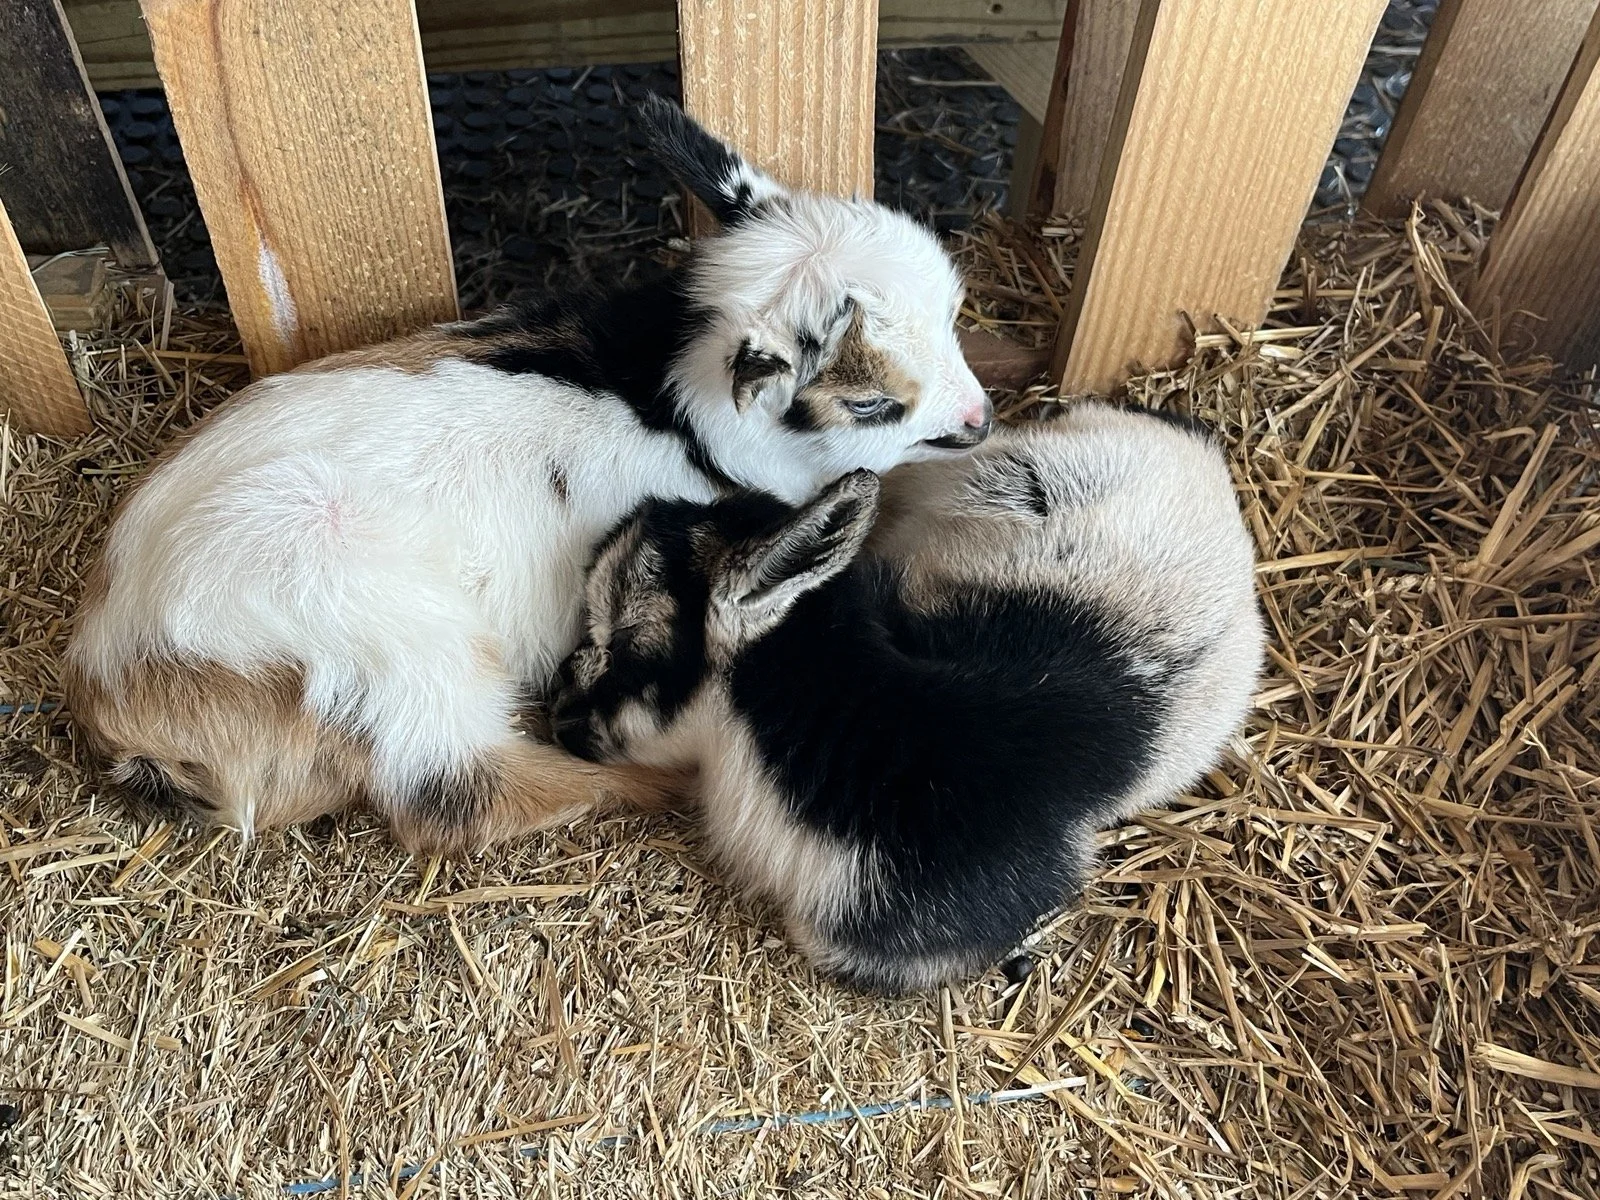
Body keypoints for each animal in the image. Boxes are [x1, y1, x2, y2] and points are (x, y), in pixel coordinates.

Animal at [65, 97, 993, 854]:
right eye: (871, 402)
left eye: (954, 313)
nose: (979, 419)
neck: (671, 401)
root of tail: (115, 677)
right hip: (386, 648)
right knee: (458, 794)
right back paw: (663, 781)